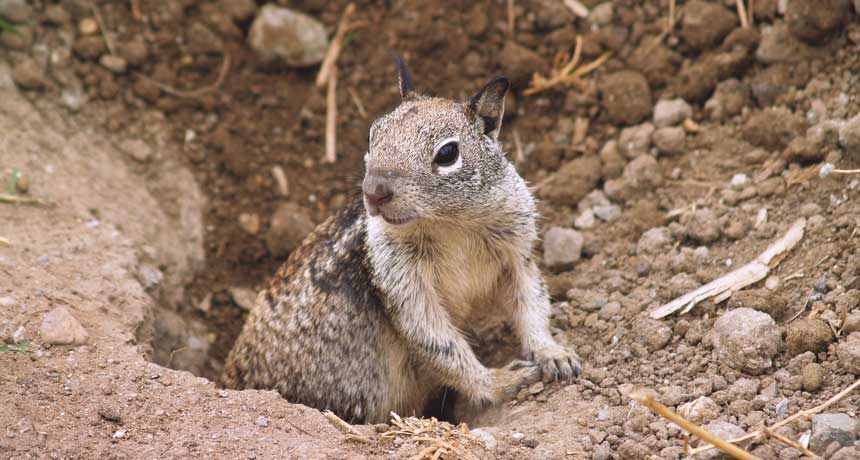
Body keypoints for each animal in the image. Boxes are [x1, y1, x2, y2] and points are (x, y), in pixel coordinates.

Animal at [225, 58, 580, 424]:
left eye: (448, 153)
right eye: (373, 134)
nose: (373, 191)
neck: (449, 224)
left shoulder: (518, 249)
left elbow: (532, 301)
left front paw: (555, 354)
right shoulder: (402, 282)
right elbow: (438, 343)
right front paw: (503, 380)